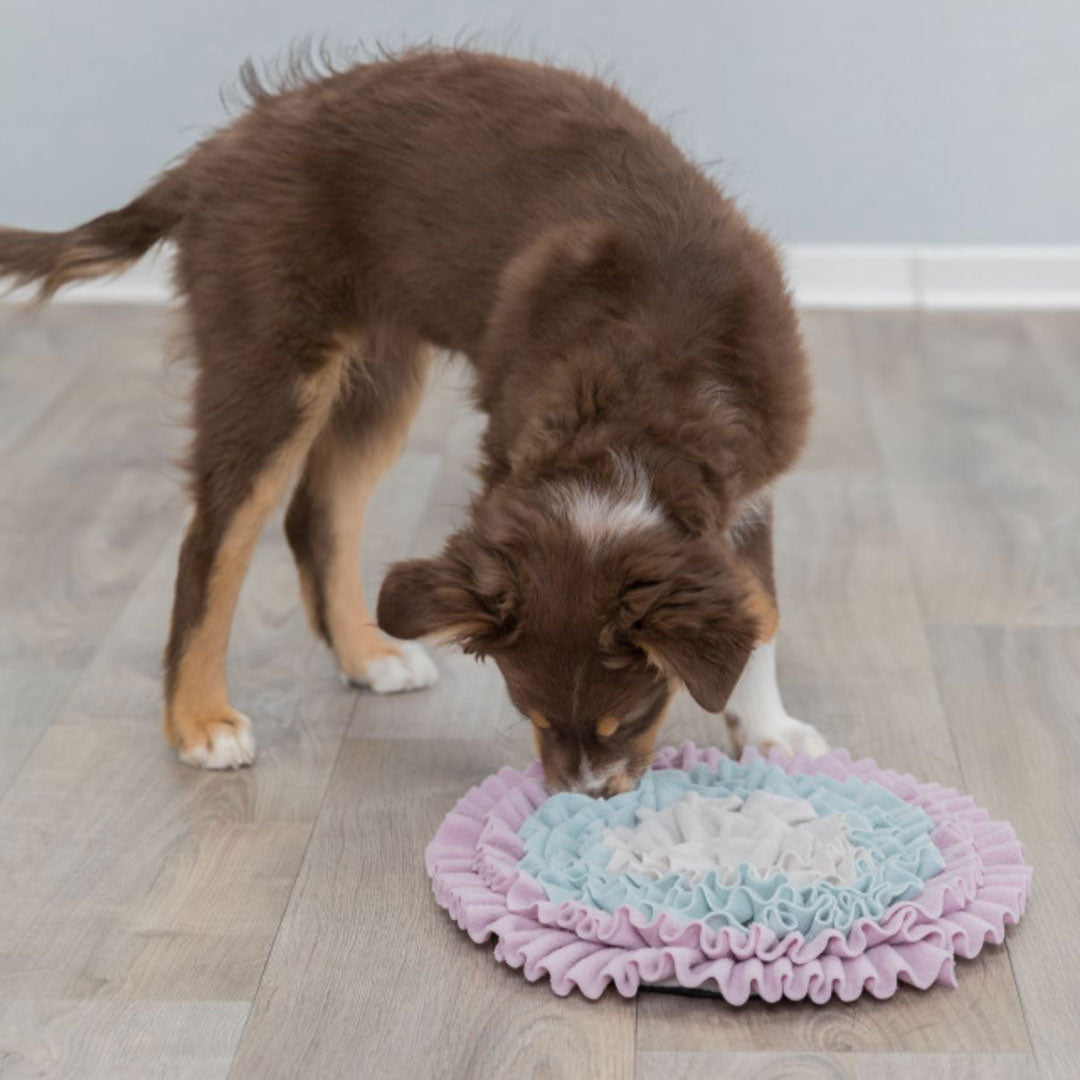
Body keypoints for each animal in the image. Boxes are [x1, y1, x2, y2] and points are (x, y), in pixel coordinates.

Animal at [0, 48, 825, 794]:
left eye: (633, 716)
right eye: (530, 712)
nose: (578, 800)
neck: (643, 384)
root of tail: (213, 155)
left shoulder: (750, 484)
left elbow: (761, 608)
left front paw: (769, 732)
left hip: (381, 373)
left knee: (317, 514)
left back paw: (368, 655)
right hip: (270, 359)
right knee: (214, 542)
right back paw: (200, 720)